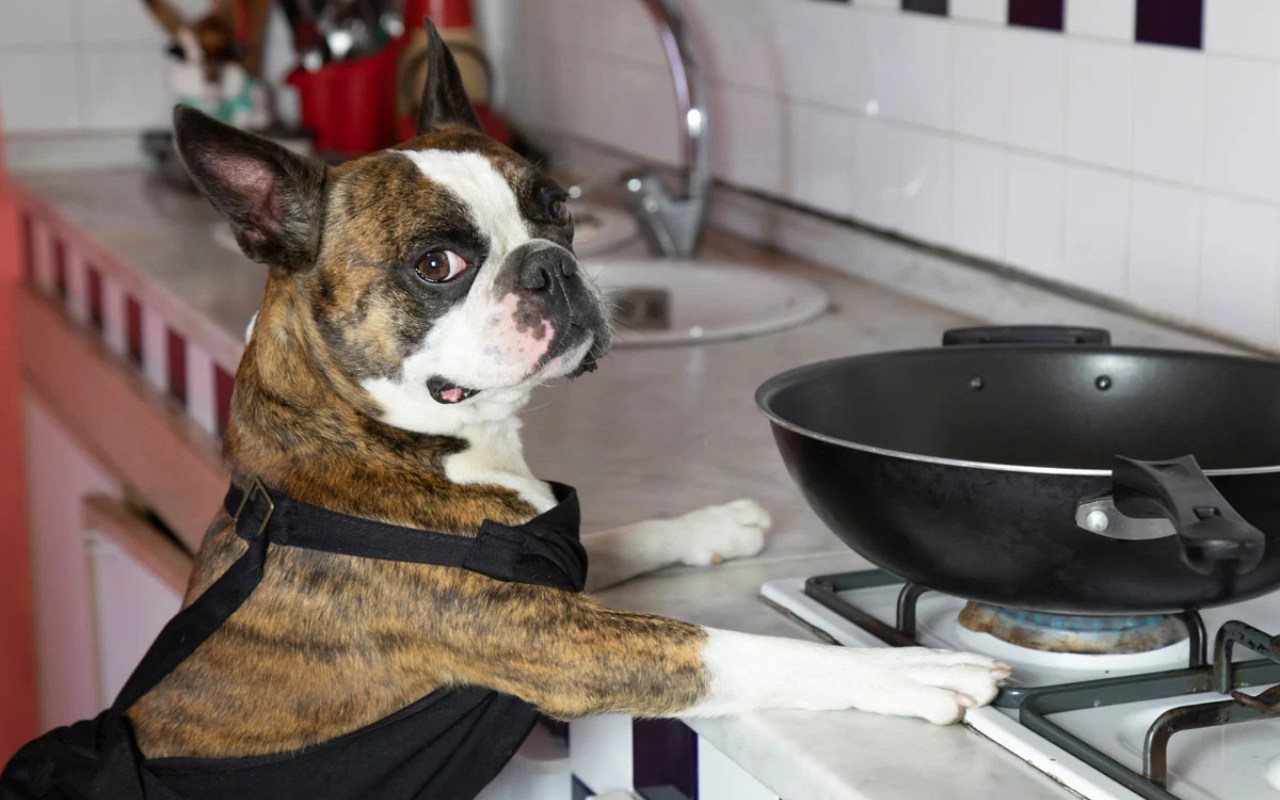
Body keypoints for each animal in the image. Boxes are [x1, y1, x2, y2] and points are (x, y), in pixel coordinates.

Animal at [0, 18, 1008, 798]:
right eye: (437, 264)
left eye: (558, 209)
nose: (549, 265)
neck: (384, 437)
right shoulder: (560, 644)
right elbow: (736, 649)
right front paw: (914, 670)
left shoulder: (549, 579)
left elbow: (619, 534)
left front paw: (713, 522)